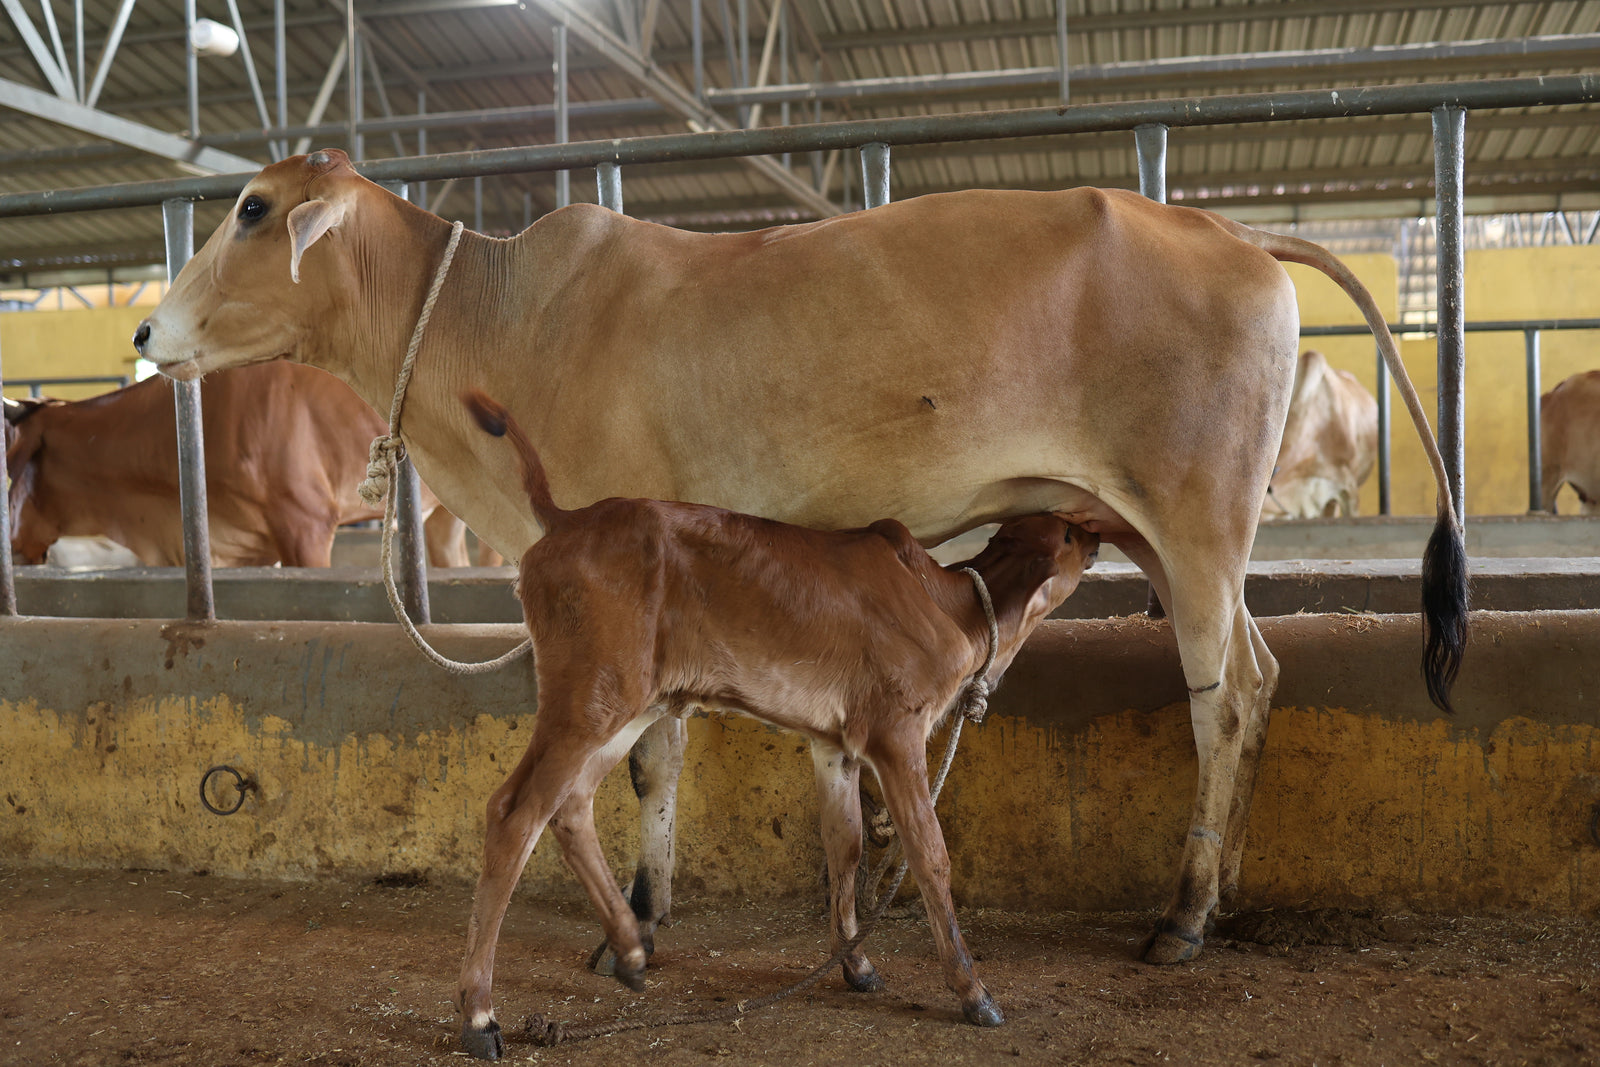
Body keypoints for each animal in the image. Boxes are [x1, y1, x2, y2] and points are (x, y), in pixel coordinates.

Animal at [454, 389, 1099, 1054]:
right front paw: (973, 992)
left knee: (572, 803)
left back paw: (630, 952)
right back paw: (480, 1014)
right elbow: (930, 854)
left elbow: (846, 847)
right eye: (1068, 533)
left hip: (630, 704)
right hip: (587, 698)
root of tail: (565, 521)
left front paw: (856, 964)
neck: (954, 607)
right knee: (514, 812)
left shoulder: (837, 744)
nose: (1096, 534)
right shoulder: (896, 731)